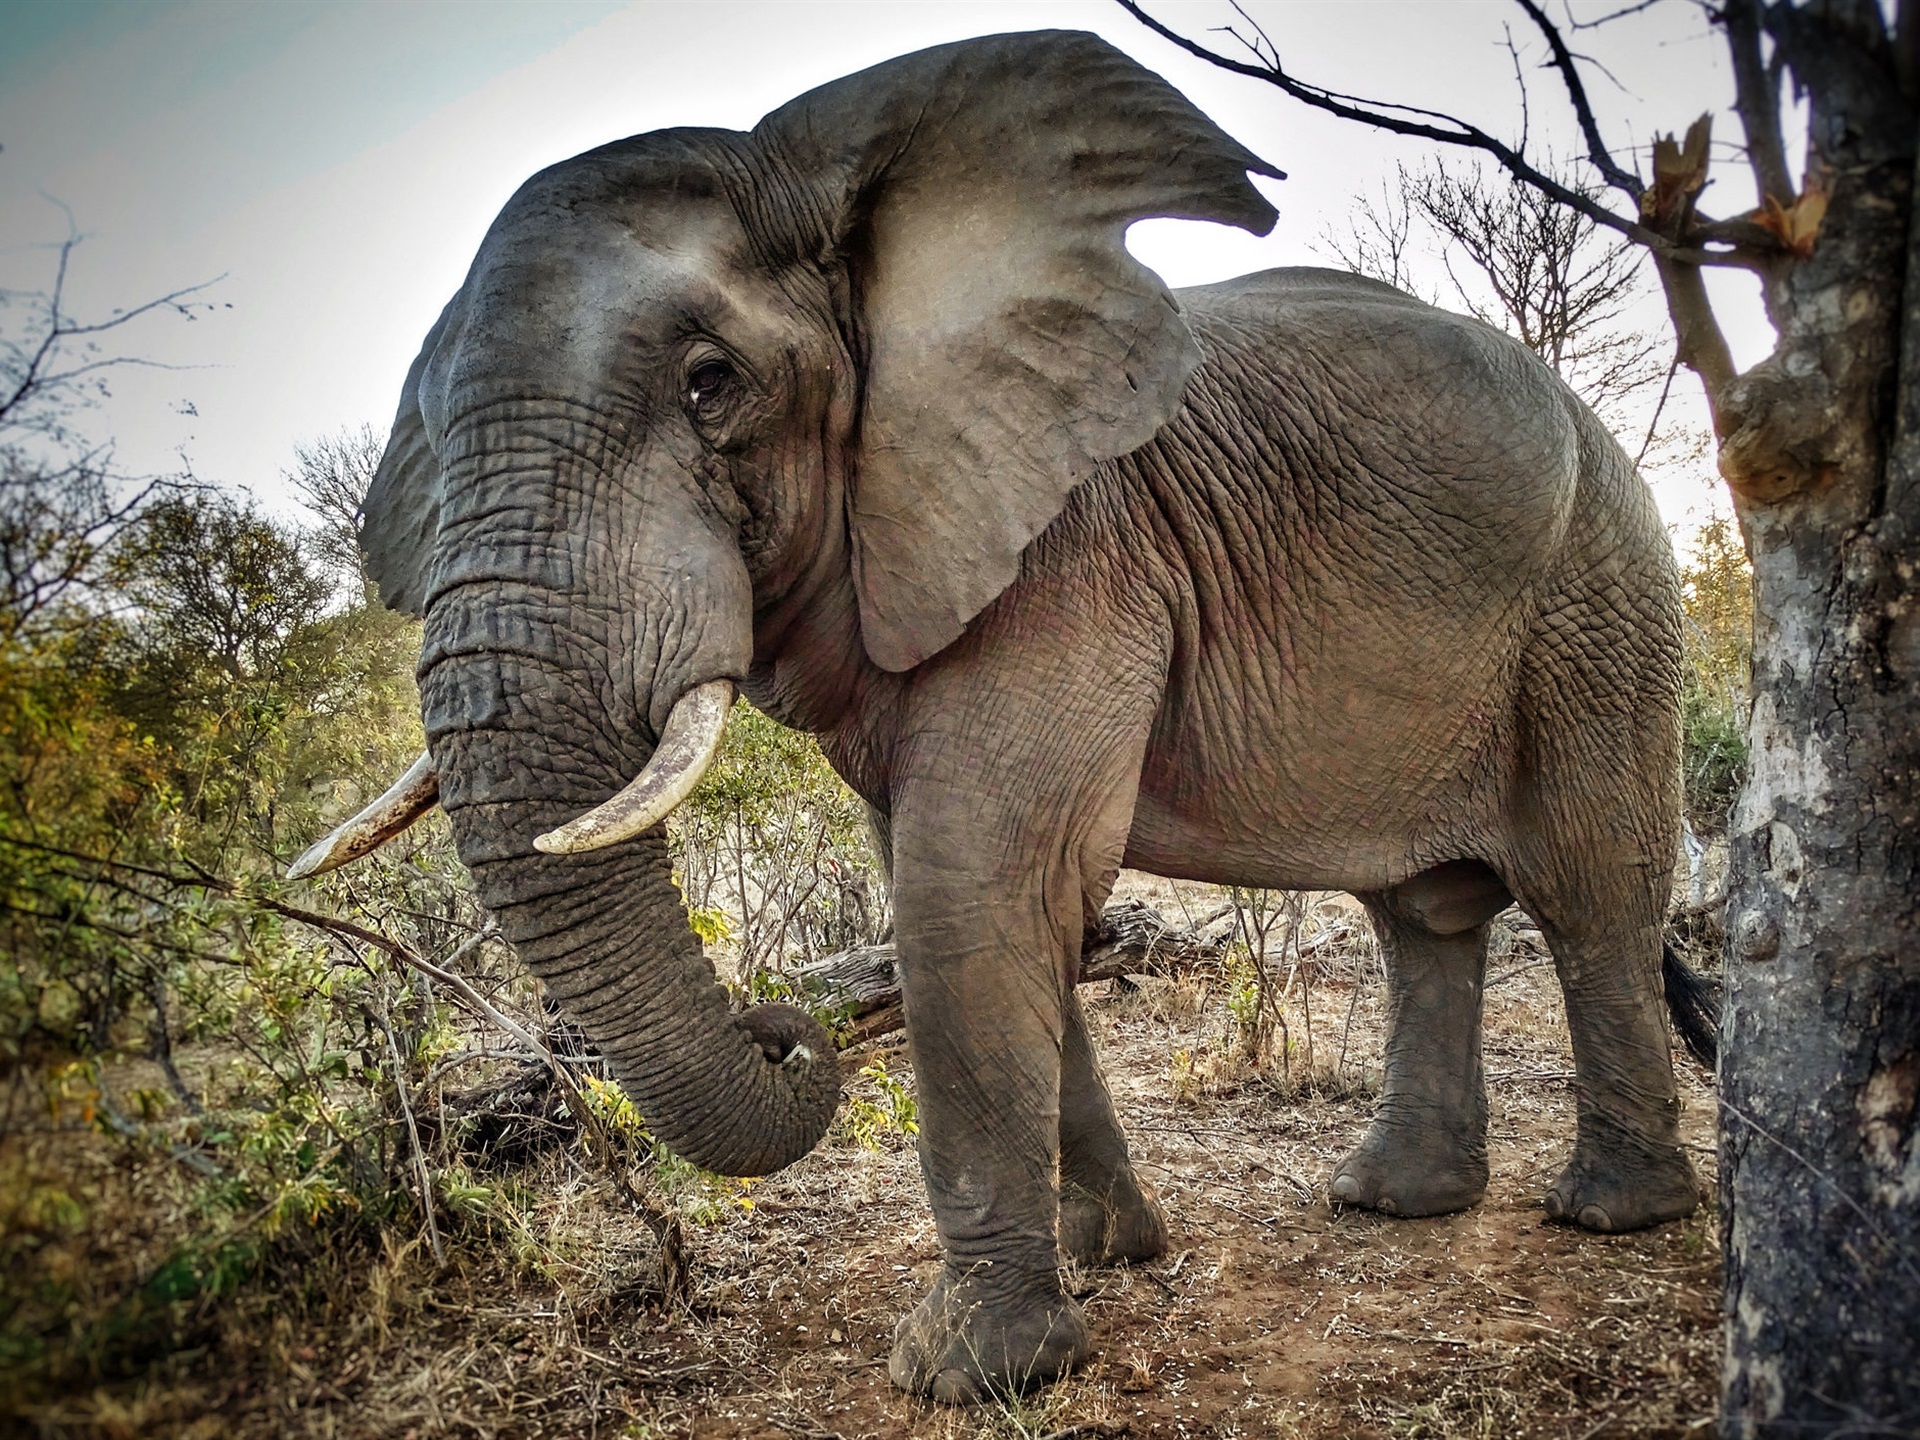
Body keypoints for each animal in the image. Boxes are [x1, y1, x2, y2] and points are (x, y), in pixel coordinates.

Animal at [291, 30, 1711, 1403]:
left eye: (711, 383)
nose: (781, 1031)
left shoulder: (1074, 552)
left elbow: (968, 883)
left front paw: (967, 1372)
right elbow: (977, 887)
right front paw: (1111, 1253)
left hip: (1601, 600)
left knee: (1591, 887)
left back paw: (1611, 1216)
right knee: (1424, 914)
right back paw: (1392, 1202)